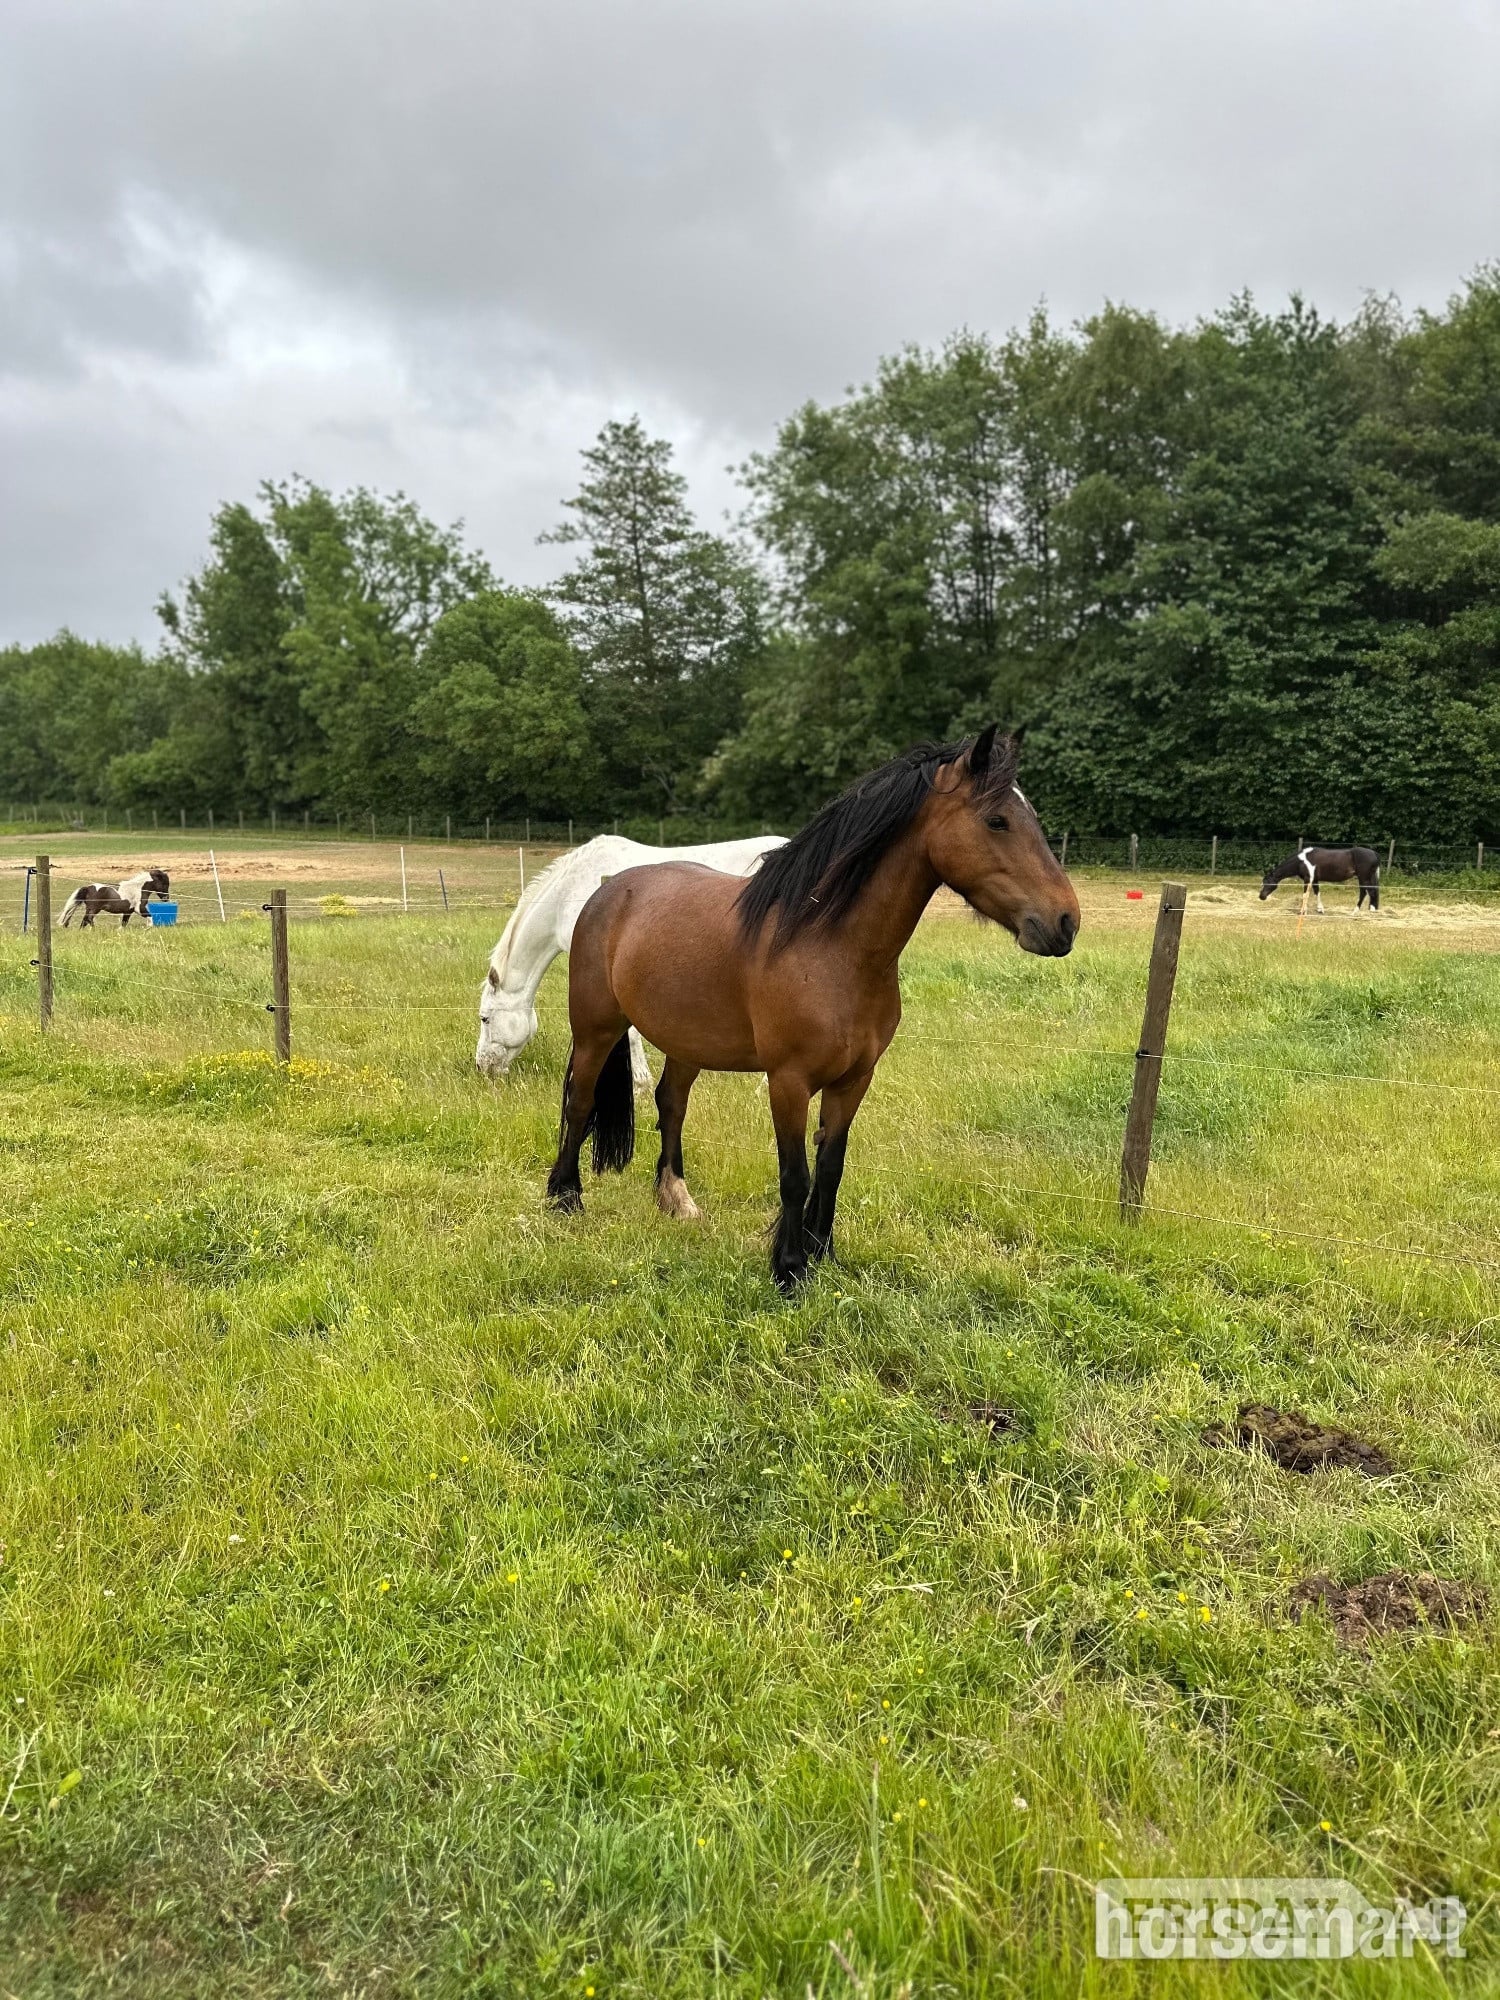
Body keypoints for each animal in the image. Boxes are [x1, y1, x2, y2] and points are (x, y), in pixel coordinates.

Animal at [544, 728, 1079, 1291]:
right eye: (996, 820)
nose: (1065, 922)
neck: (828, 946)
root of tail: (608, 891)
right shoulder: (789, 1081)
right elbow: (794, 1173)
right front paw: (790, 1267)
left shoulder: (854, 1080)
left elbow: (831, 1166)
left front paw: (824, 1252)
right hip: (597, 1029)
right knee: (579, 1101)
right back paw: (564, 1197)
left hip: (686, 1041)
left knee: (671, 1104)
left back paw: (675, 1200)